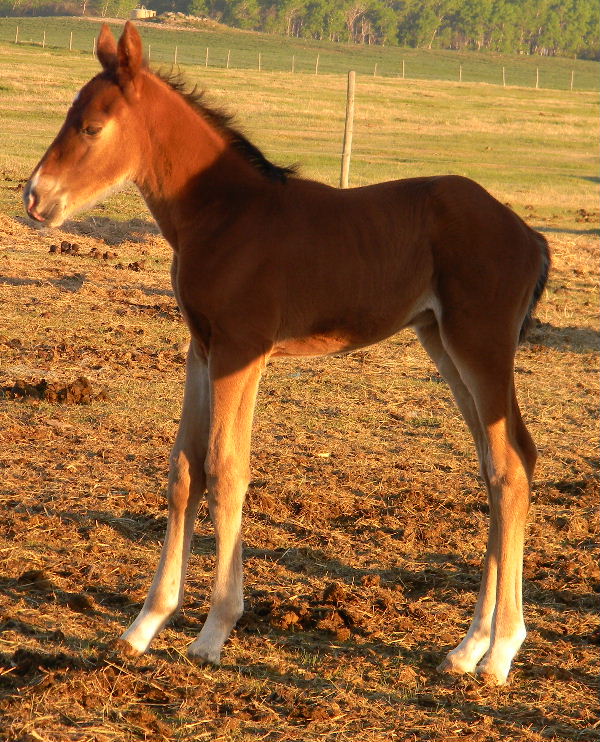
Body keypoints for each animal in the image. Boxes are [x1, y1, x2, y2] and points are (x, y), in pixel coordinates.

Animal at [24, 22, 549, 686]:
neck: (225, 215)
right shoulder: (203, 349)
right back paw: (467, 647)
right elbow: (186, 471)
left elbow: (226, 469)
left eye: (92, 127)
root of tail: (528, 234)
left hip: (479, 344)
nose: (34, 198)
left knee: (510, 467)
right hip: (442, 343)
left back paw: (501, 650)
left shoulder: (242, 350)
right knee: (498, 466)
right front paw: (143, 627)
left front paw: (213, 633)